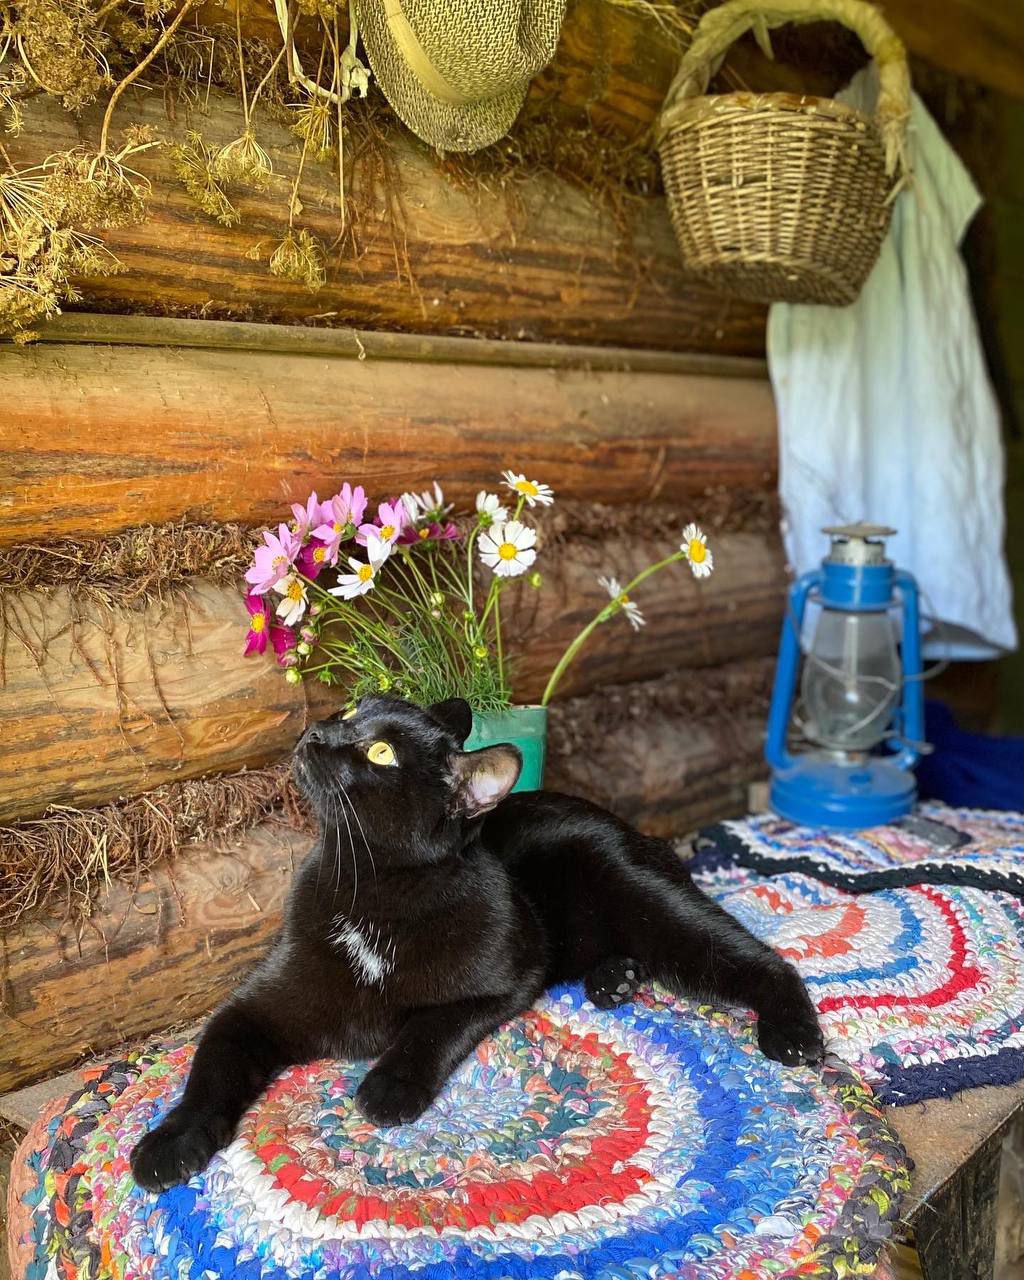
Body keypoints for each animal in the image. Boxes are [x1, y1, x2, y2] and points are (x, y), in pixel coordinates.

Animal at [130, 695, 823, 1192]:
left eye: (380, 752)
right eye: (351, 710)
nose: (317, 731)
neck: (369, 889)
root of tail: (632, 826)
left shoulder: (509, 976)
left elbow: (430, 1025)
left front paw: (388, 1087)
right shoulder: (253, 1010)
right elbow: (208, 1072)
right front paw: (168, 1146)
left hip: (653, 904)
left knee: (760, 958)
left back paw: (792, 1033)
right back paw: (614, 979)